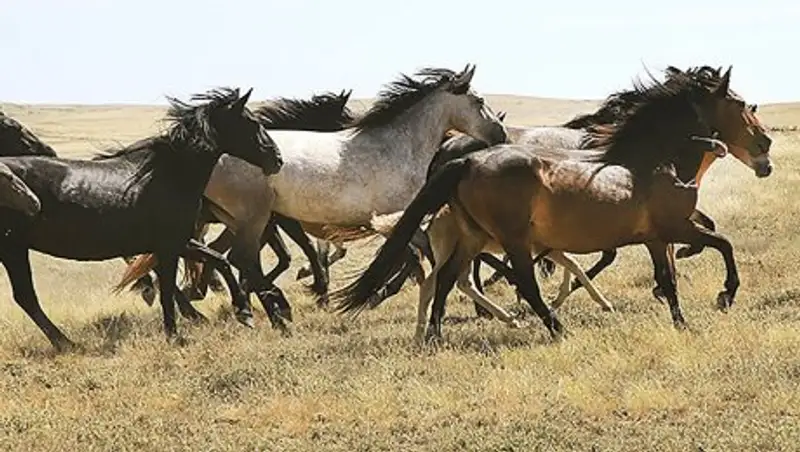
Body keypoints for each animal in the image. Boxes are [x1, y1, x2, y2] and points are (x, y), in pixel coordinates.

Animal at [0, 87, 282, 350]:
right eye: (252, 123)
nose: (277, 159)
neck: (170, 176)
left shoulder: (178, 242)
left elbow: (219, 260)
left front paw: (243, 313)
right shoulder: (168, 247)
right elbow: (167, 291)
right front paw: (174, 336)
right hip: (13, 248)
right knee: (26, 297)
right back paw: (66, 343)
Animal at [334, 67, 772, 342]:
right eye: (741, 105)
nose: (765, 145)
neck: (653, 161)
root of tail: (465, 160)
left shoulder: (655, 237)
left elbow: (670, 278)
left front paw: (681, 323)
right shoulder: (674, 227)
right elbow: (723, 243)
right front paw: (725, 295)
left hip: (473, 237)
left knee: (445, 280)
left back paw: (436, 336)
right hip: (511, 239)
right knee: (521, 283)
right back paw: (555, 326)